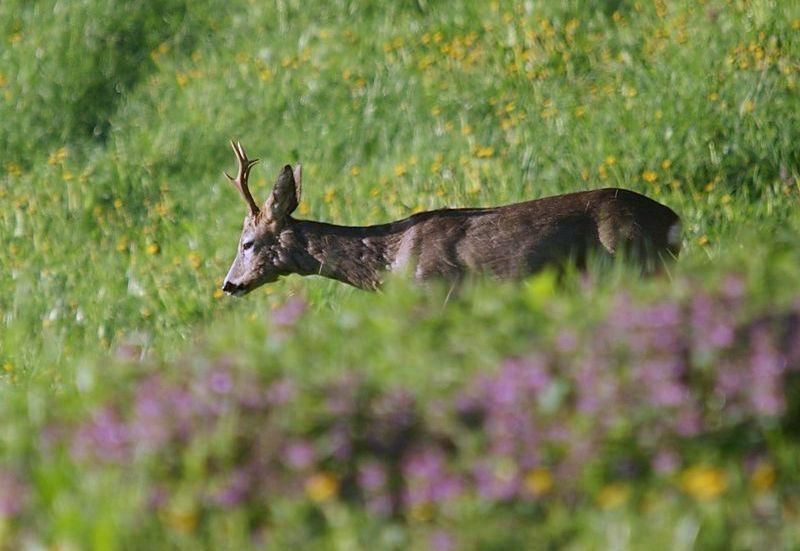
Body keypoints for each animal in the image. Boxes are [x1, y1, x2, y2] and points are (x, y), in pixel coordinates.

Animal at [220, 142, 680, 298]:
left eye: (246, 243)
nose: (228, 285)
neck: (390, 263)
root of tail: (673, 221)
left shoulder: (440, 292)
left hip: (634, 260)